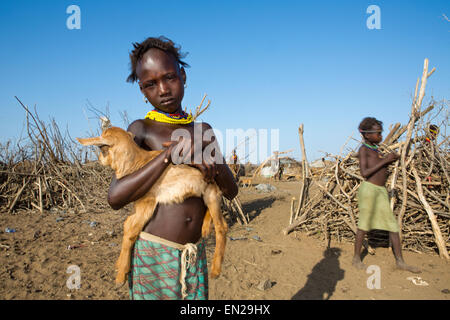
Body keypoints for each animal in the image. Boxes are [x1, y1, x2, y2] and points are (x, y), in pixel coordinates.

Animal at [76, 126, 229, 284]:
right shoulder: (138, 203)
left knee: (222, 226)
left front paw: (121, 275)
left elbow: (131, 229)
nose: (99, 159)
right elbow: (127, 224)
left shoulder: (147, 201)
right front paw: (119, 266)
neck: (137, 163)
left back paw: (215, 270)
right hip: (208, 193)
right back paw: (205, 228)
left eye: (102, 147)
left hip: (211, 193)